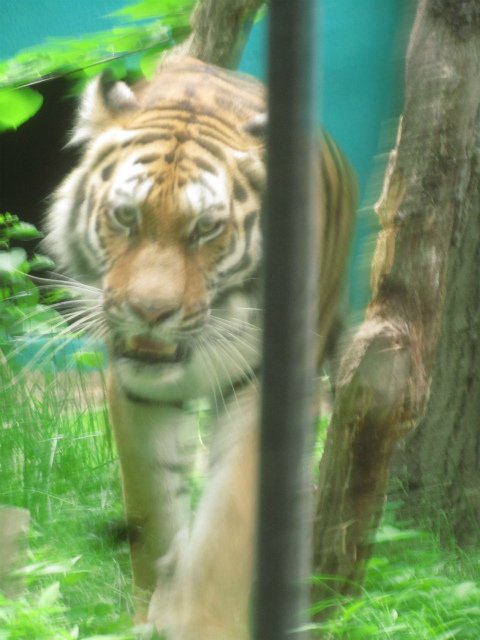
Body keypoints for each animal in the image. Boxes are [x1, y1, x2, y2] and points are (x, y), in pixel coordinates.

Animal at [44, 57, 356, 636]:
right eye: (126, 216)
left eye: (206, 228)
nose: (150, 312)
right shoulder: (136, 390)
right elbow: (152, 507)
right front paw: (152, 610)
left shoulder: (266, 387)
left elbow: (229, 523)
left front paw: (201, 622)